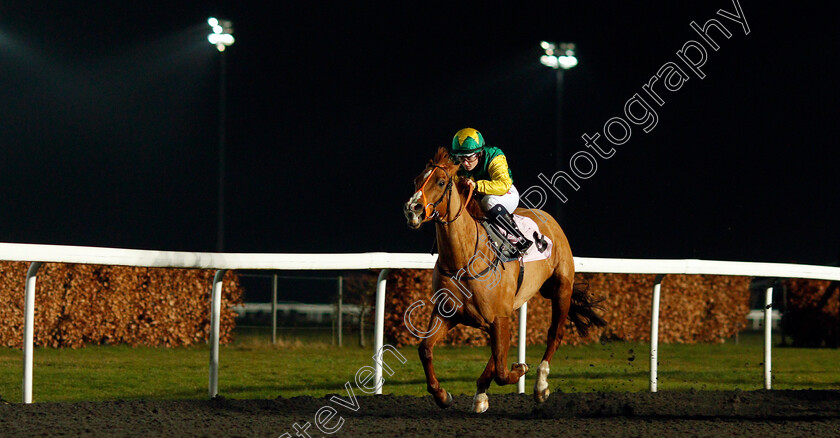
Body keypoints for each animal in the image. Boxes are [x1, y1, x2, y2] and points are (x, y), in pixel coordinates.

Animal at [402, 149, 604, 412]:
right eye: (417, 179)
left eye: (441, 182)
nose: (412, 209)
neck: (465, 260)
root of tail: (549, 218)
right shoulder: (448, 313)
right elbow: (425, 349)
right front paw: (442, 395)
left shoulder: (498, 316)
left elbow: (501, 371)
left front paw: (520, 368)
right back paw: (481, 394)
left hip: (561, 288)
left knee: (554, 334)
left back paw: (540, 385)